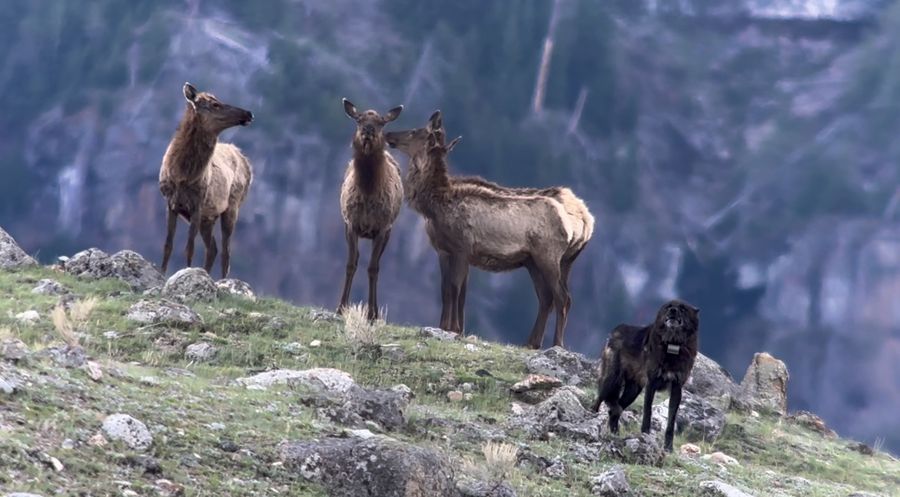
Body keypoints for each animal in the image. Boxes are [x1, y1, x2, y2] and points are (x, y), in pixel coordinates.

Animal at [159, 82, 254, 279]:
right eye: (215, 104)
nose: (248, 113)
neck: (183, 174)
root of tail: (246, 161)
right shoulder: (171, 203)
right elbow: (168, 244)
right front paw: (162, 273)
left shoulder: (197, 204)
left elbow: (189, 247)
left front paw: (187, 271)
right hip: (208, 218)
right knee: (213, 249)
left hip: (232, 206)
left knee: (226, 251)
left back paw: (222, 281)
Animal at [337, 99, 404, 321]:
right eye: (359, 119)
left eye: (381, 123)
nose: (368, 130)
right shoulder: (351, 224)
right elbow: (351, 264)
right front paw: (341, 307)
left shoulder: (382, 228)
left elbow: (373, 268)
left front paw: (372, 313)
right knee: (357, 258)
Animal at [386, 118, 593, 344]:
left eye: (415, 131)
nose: (388, 135)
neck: (435, 205)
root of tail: (587, 221)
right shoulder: (445, 251)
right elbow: (449, 290)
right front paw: (449, 327)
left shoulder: (461, 248)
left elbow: (454, 288)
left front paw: (452, 328)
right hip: (543, 262)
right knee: (546, 297)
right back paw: (532, 343)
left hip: (548, 256)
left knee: (563, 298)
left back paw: (556, 344)